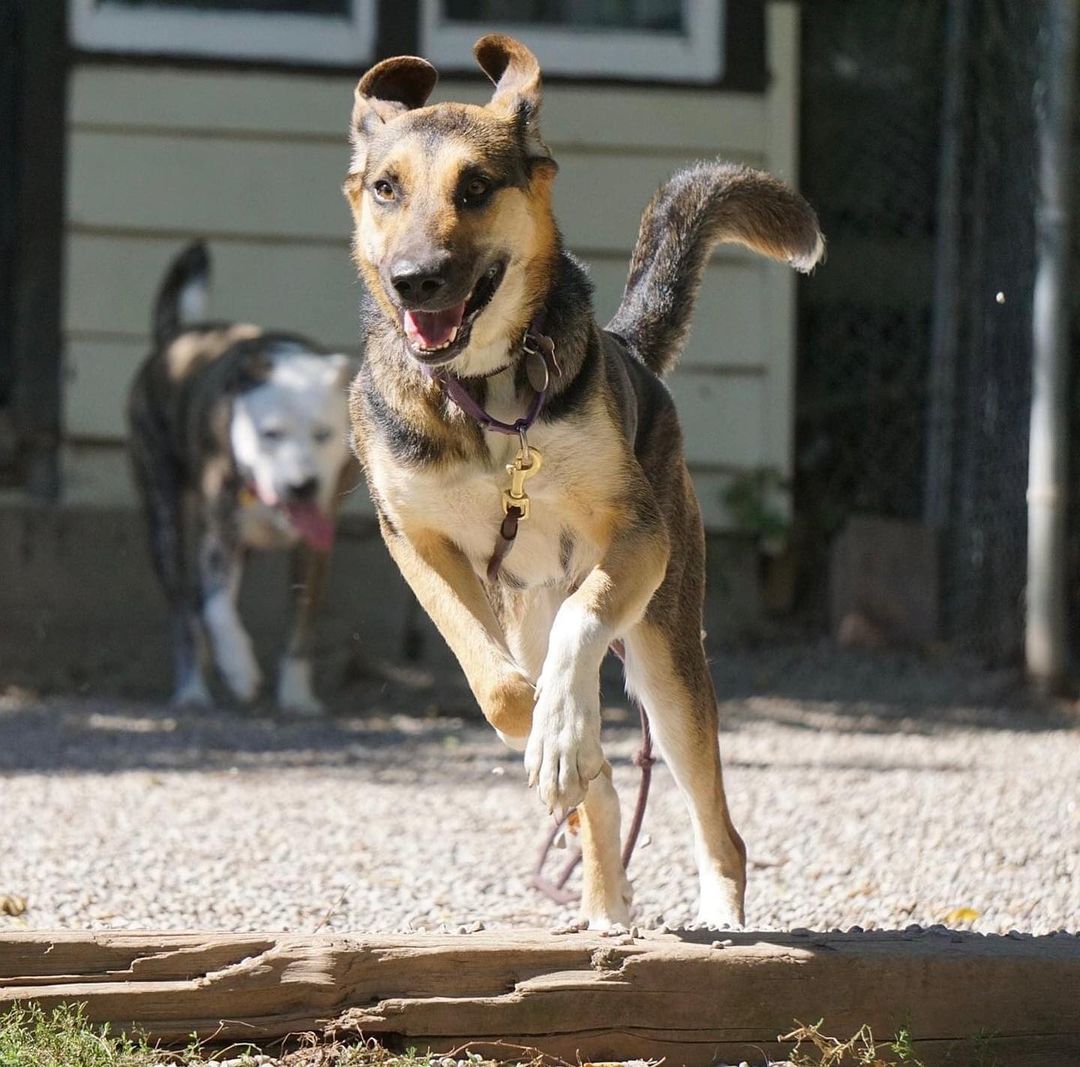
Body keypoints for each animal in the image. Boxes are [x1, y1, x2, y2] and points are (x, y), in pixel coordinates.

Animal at [345, 37, 825, 928]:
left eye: (475, 186)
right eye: (386, 187)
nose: (414, 279)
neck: (483, 395)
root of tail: (629, 345)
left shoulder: (637, 535)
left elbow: (581, 626)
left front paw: (564, 731)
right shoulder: (418, 544)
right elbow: (500, 687)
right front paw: (556, 739)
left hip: (668, 654)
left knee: (718, 820)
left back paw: (714, 909)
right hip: (531, 608)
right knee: (592, 782)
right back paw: (601, 887)